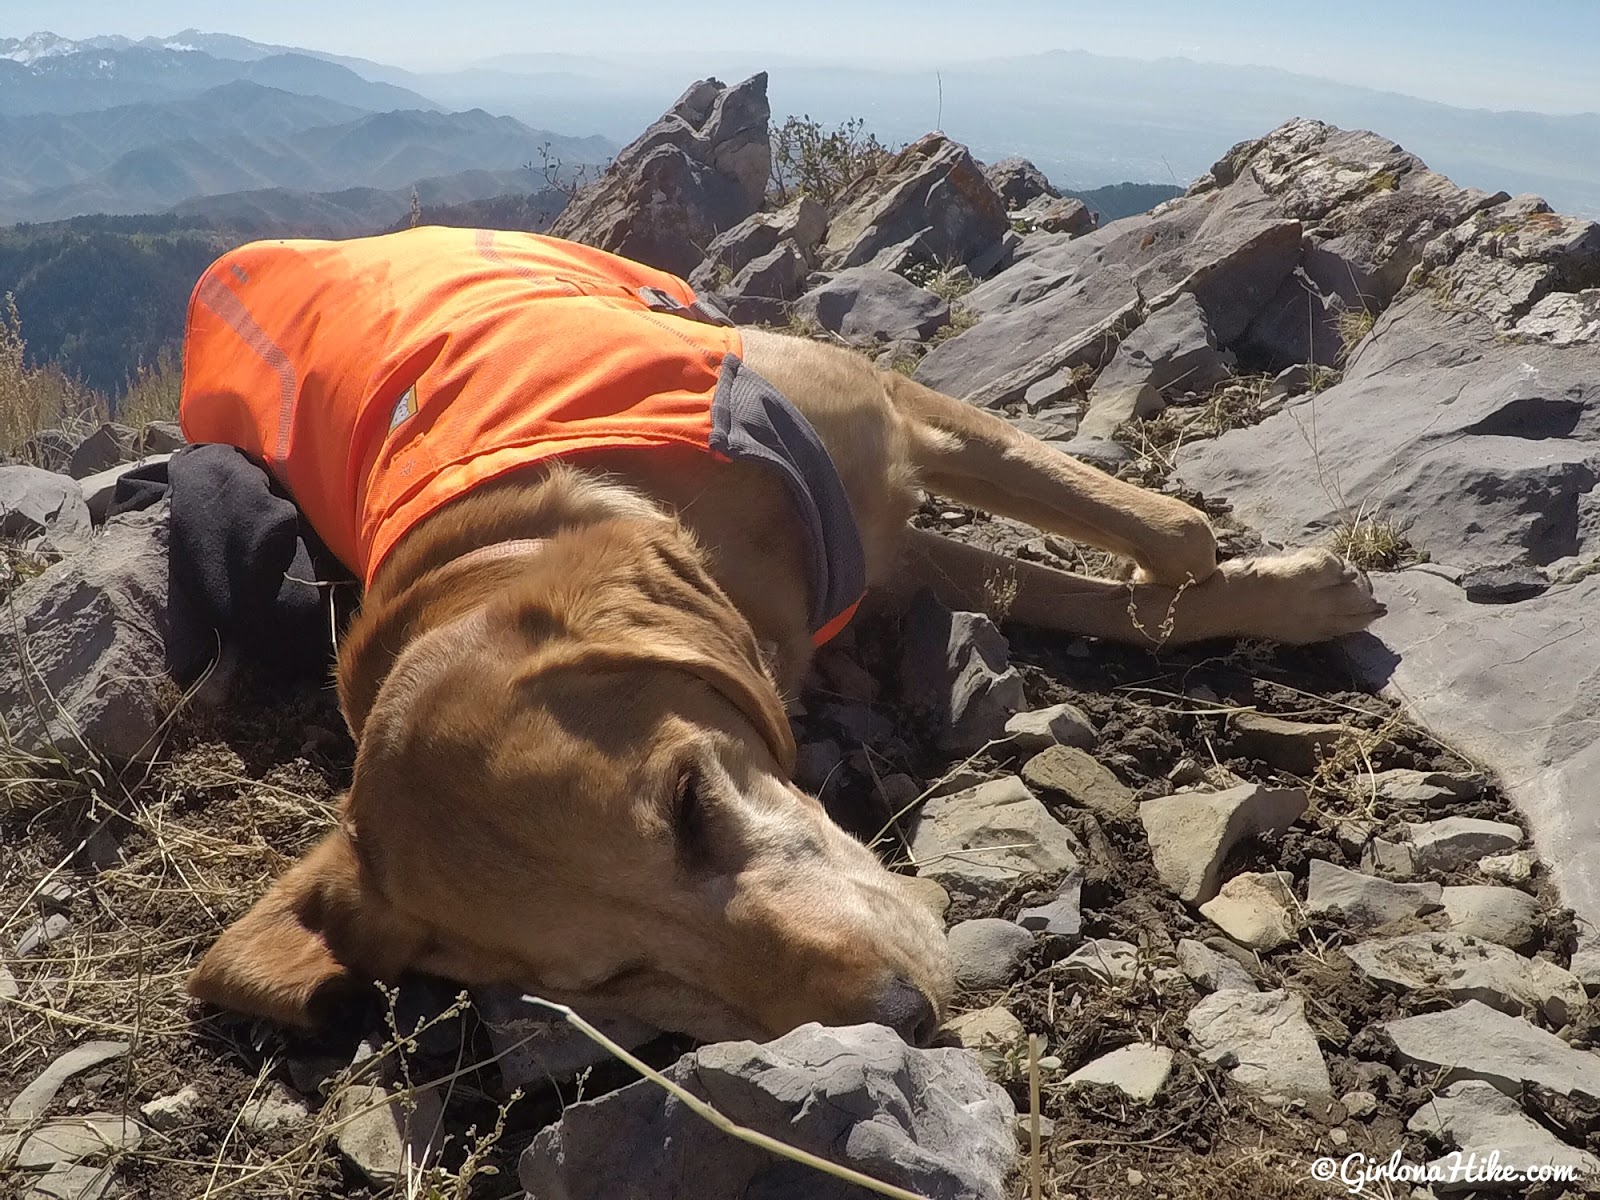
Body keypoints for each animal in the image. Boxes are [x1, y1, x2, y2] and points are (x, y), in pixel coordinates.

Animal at [172, 225, 1376, 1043]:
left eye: (691, 806)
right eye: (611, 982)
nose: (903, 1019)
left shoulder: (889, 412)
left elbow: (1169, 535)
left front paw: (1292, 592)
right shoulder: (890, 563)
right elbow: (1103, 589)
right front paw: (1272, 597)